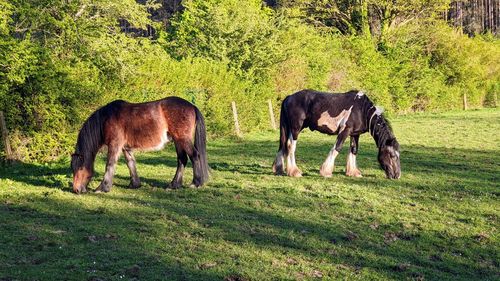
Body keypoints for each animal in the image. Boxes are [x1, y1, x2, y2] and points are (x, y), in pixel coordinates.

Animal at [70, 96, 207, 192]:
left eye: (80, 168)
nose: (77, 190)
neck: (106, 118)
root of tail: (192, 106)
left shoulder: (115, 145)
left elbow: (110, 164)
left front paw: (102, 188)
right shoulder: (125, 147)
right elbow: (130, 163)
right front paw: (134, 184)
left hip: (183, 139)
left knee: (194, 155)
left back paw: (195, 183)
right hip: (178, 141)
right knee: (182, 159)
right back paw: (174, 185)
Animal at [272, 88, 400, 178]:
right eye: (392, 155)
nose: (397, 175)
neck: (362, 110)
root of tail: (289, 97)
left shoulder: (355, 134)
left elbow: (354, 150)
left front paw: (353, 172)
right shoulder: (345, 131)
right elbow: (337, 148)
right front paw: (326, 171)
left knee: (284, 144)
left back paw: (279, 169)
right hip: (296, 128)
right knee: (290, 145)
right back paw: (294, 172)